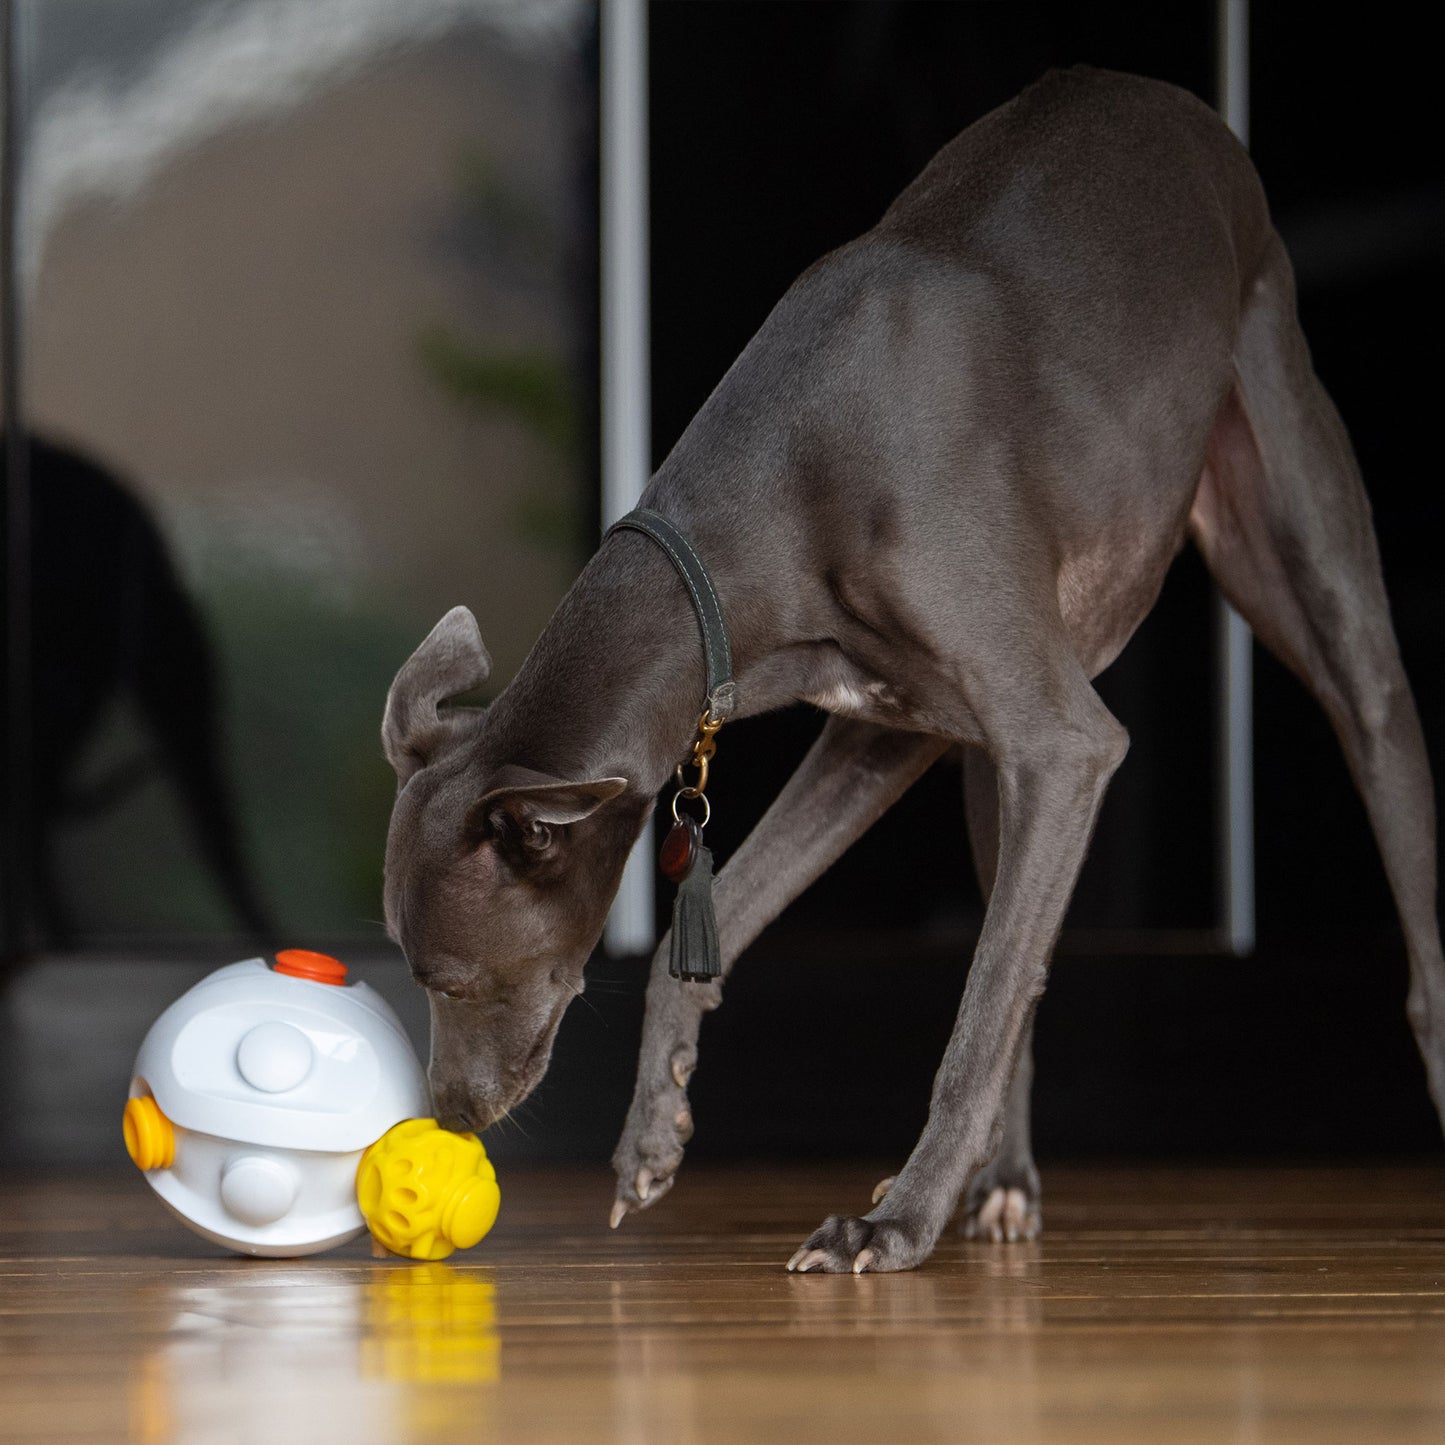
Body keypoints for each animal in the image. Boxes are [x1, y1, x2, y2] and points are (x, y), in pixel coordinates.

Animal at [378, 73, 1439, 1277]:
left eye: (448, 979)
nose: (450, 1120)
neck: (776, 492)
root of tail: (1182, 109)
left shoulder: (1066, 746)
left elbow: (979, 1001)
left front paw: (892, 1223)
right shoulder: (887, 729)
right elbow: (736, 915)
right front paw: (656, 1131)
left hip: (1314, 571)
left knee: (1390, 855)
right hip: (994, 763)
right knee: (1022, 961)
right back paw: (1004, 1183)